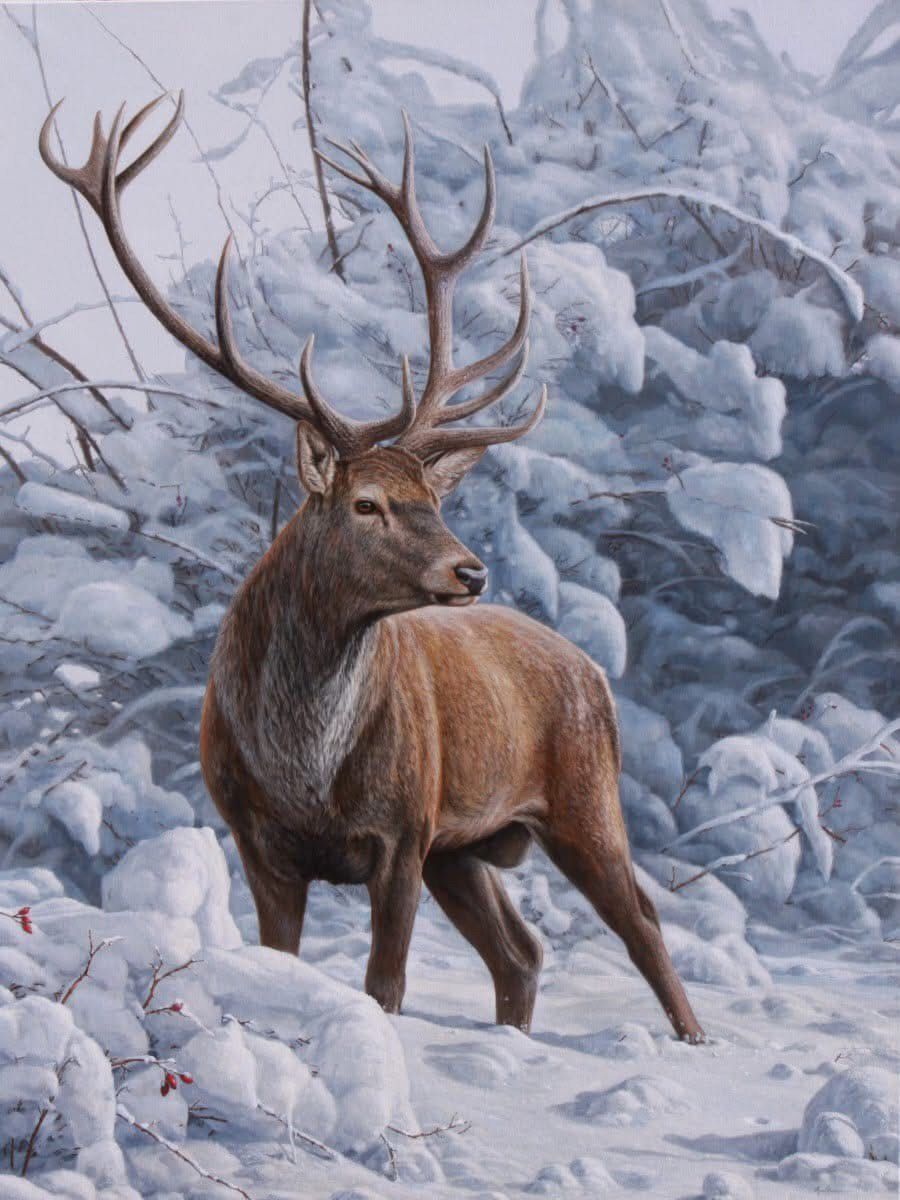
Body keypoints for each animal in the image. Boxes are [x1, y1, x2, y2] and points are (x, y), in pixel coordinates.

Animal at [40, 93, 704, 1043]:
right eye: (367, 504)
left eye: (433, 496)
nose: (471, 573)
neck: (304, 772)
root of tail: (592, 671)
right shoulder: (259, 841)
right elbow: (283, 966)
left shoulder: (402, 830)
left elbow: (383, 984)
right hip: (466, 850)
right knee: (522, 950)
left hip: (578, 794)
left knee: (641, 920)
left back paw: (694, 1040)